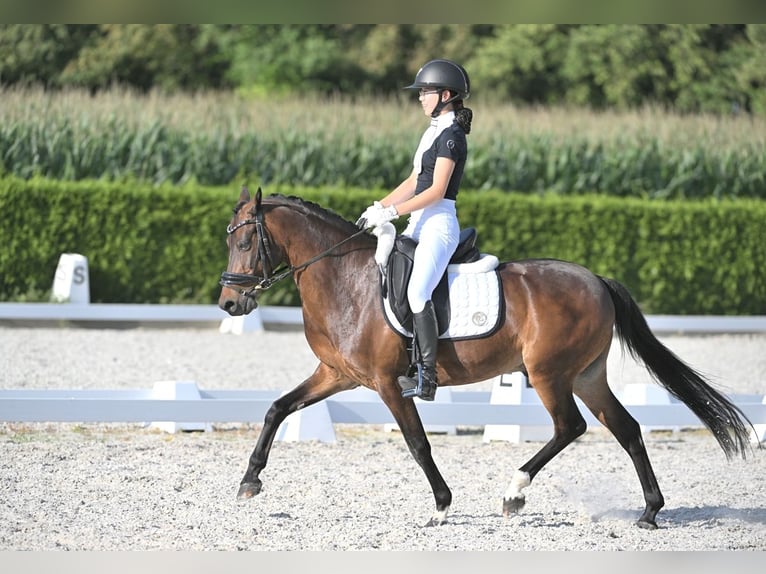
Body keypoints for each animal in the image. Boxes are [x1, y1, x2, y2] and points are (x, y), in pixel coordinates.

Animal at [218, 186, 753, 530]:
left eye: (244, 241)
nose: (229, 305)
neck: (344, 278)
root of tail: (597, 280)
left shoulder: (388, 383)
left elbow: (417, 443)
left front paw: (440, 506)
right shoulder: (336, 374)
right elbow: (278, 408)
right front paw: (248, 482)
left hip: (548, 373)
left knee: (571, 427)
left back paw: (515, 494)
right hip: (586, 375)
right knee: (626, 428)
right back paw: (649, 512)